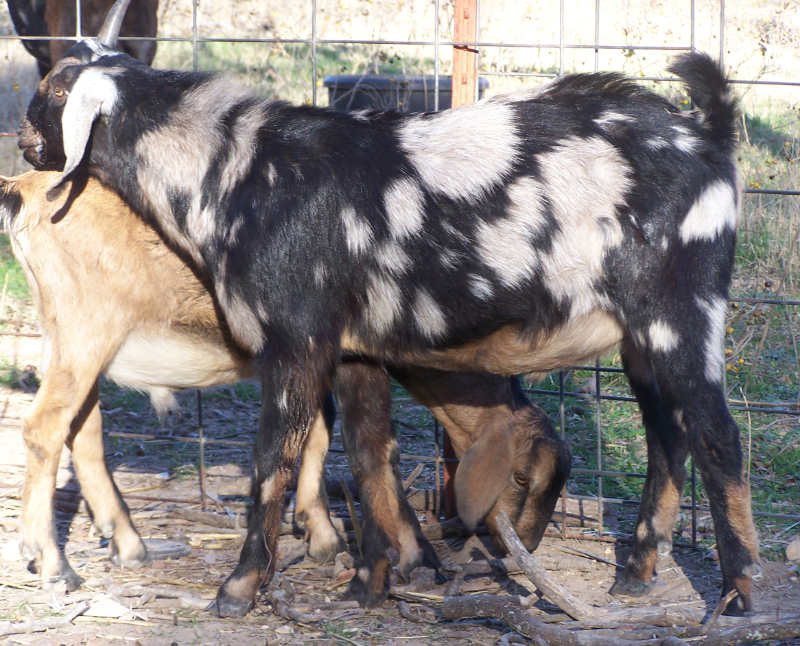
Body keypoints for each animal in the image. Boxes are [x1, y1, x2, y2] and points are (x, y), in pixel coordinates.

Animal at [17, 0, 756, 616]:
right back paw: (635, 571)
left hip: (681, 311)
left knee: (718, 436)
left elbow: (273, 464)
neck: (234, 169)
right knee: (667, 436)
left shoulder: (295, 341)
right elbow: (372, 460)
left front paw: (240, 588)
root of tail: (706, 135)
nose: (24, 141)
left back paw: (736, 591)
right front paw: (372, 584)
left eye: (52, 91)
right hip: (641, 339)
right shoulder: (353, 349)